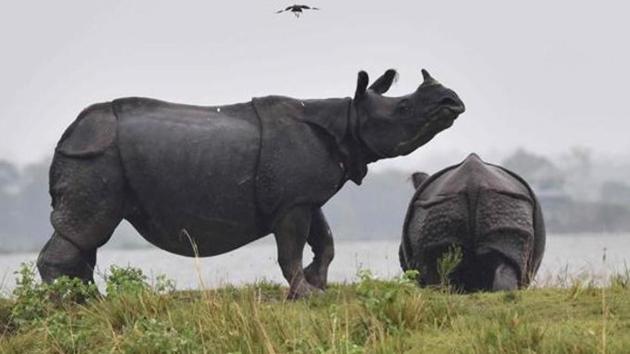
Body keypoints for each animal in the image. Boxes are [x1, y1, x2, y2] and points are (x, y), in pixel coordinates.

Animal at [38, 68, 464, 298]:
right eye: (403, 108)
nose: (451, 101)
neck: (348, 118)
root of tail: (67, 134)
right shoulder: (292, 202)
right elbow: (290, 250)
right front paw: (304, 294)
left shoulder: (303, 196)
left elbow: (325, 241)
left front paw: (318, 285)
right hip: (96, 155)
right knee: (88, 228)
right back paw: (79, 305)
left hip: (95, 153)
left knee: (88, 236)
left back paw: (85, 300)